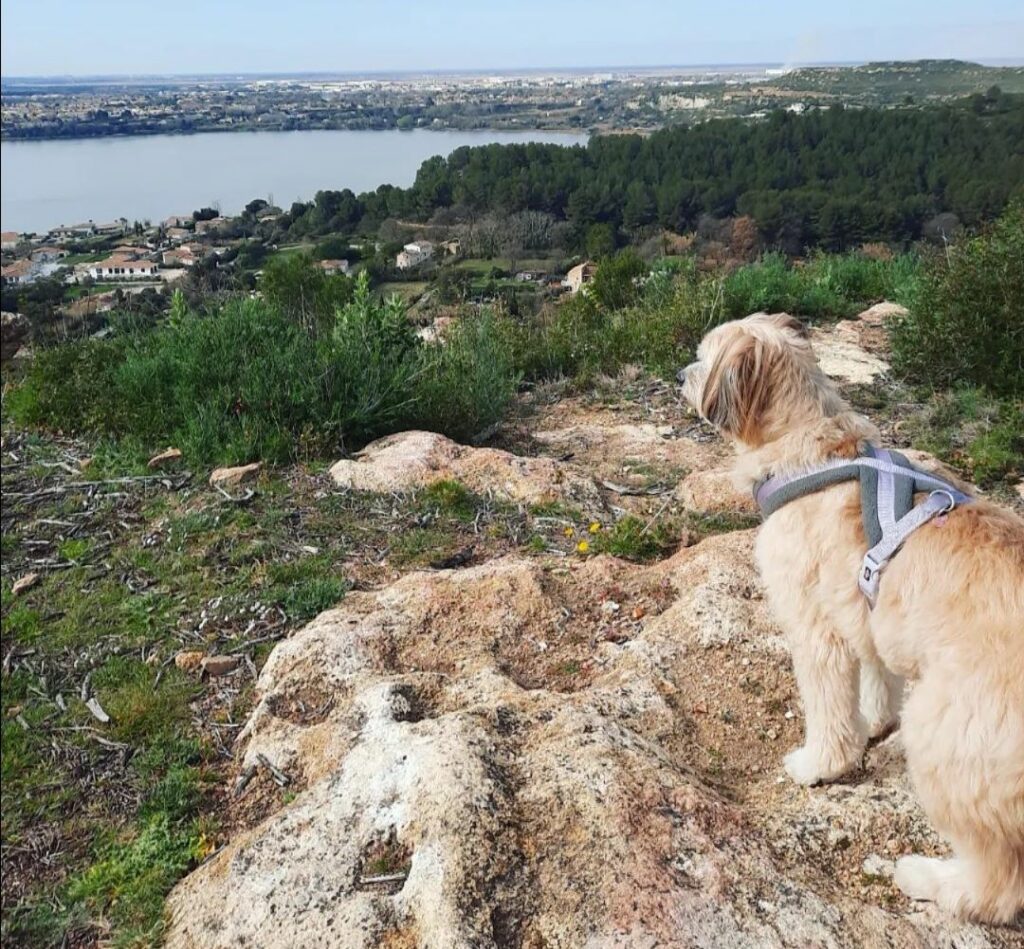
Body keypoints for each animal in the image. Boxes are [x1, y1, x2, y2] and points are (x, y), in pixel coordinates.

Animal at [679, 315, 1024, 925]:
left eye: (703, 357)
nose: (679, 375)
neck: (813, 449)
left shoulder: (814, 628)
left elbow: (829, 711)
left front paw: (821, 764)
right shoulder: (865, 610)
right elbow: (877, 678)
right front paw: (875, 719)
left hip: (947, 742)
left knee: (999, 881)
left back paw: (929, 879)